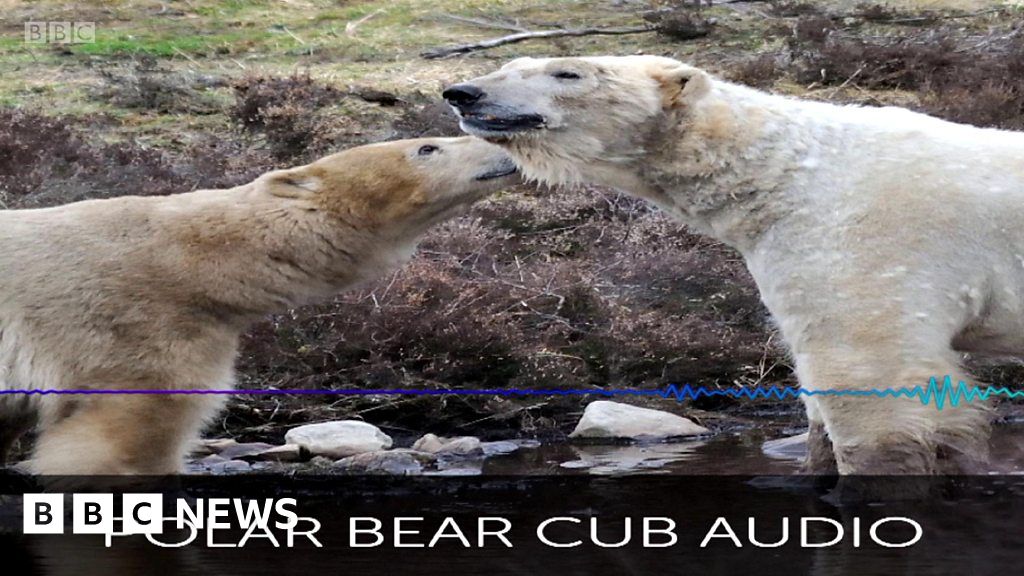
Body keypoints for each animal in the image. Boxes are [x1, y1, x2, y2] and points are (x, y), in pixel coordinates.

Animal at [444, 54, 1024, 475]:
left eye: (568, 72)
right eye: (509, 63)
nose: (463, 93)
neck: (787, 171)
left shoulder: (869, 240)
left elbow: (872, 383)